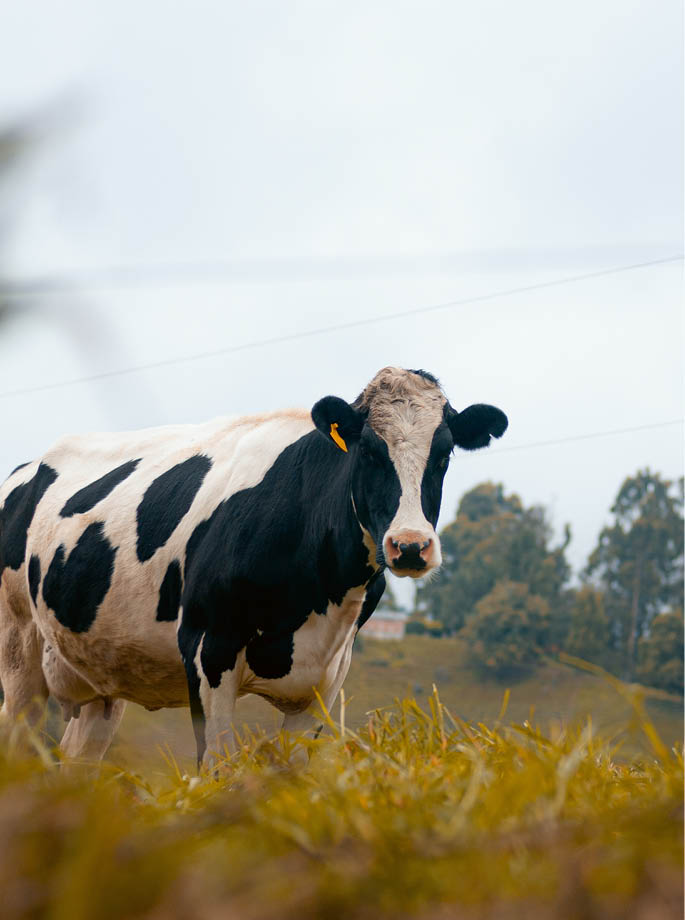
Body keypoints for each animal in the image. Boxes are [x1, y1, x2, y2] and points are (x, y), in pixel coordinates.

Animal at [0, 367, 507, 765]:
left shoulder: (325, 679)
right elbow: (217, 767)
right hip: (18, 648)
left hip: (100, 678)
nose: (409, 546)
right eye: (368, 451)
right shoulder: (208, 648)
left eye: (443, 454)